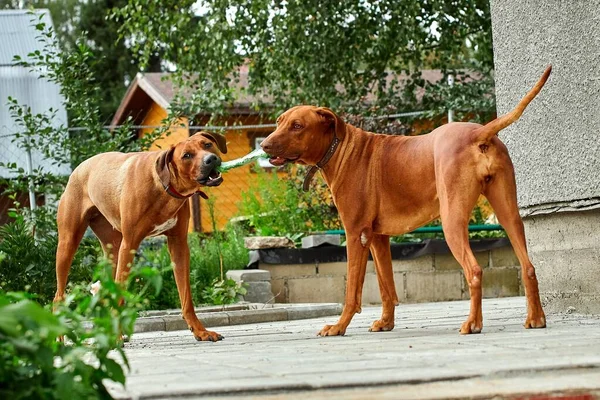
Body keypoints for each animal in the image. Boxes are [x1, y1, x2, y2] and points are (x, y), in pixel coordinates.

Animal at [54, 130, 227, 340]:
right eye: (187, 155)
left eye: (207, 145)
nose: (211, 159)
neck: (164, 184)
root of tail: (78, 168)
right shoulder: (129, 244)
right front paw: (115, 337)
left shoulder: (178, 245)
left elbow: (186, 295)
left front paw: (200, 331)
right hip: (68, 243)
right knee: (58, 296)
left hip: (112, 250)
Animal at [260, 67, 552, 336]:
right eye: (279, 121)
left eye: (297, 125)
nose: (264, 145)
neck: (341, 148)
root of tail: (479, 134)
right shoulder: (378, 238)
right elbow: (386, 285)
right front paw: (385, 323)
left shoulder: (355, 234)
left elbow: (352, 290)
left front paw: (339, 326)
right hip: (509, 213)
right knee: (528, 266)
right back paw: (536, 318)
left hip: (452, 220)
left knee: (475, 270)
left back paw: (472, 323)